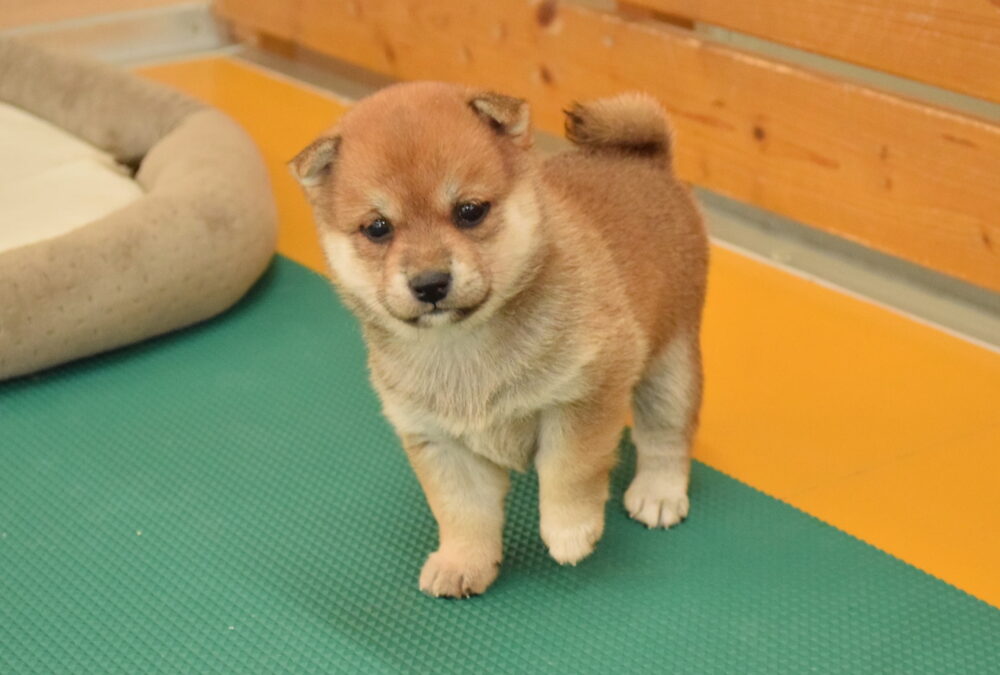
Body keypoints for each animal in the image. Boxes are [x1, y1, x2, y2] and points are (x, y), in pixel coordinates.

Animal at [290, 82, 708, 598]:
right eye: (378, 228)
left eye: (469, 212)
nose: (430, 283)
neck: (464, 348)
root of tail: (649, 161)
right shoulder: (438, 439)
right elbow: (463, 512)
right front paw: (463, 561)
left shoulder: (584, 395)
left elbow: (570, 469)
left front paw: (570, 530)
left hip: (669, 369)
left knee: (665, 435)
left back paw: (658, 493)